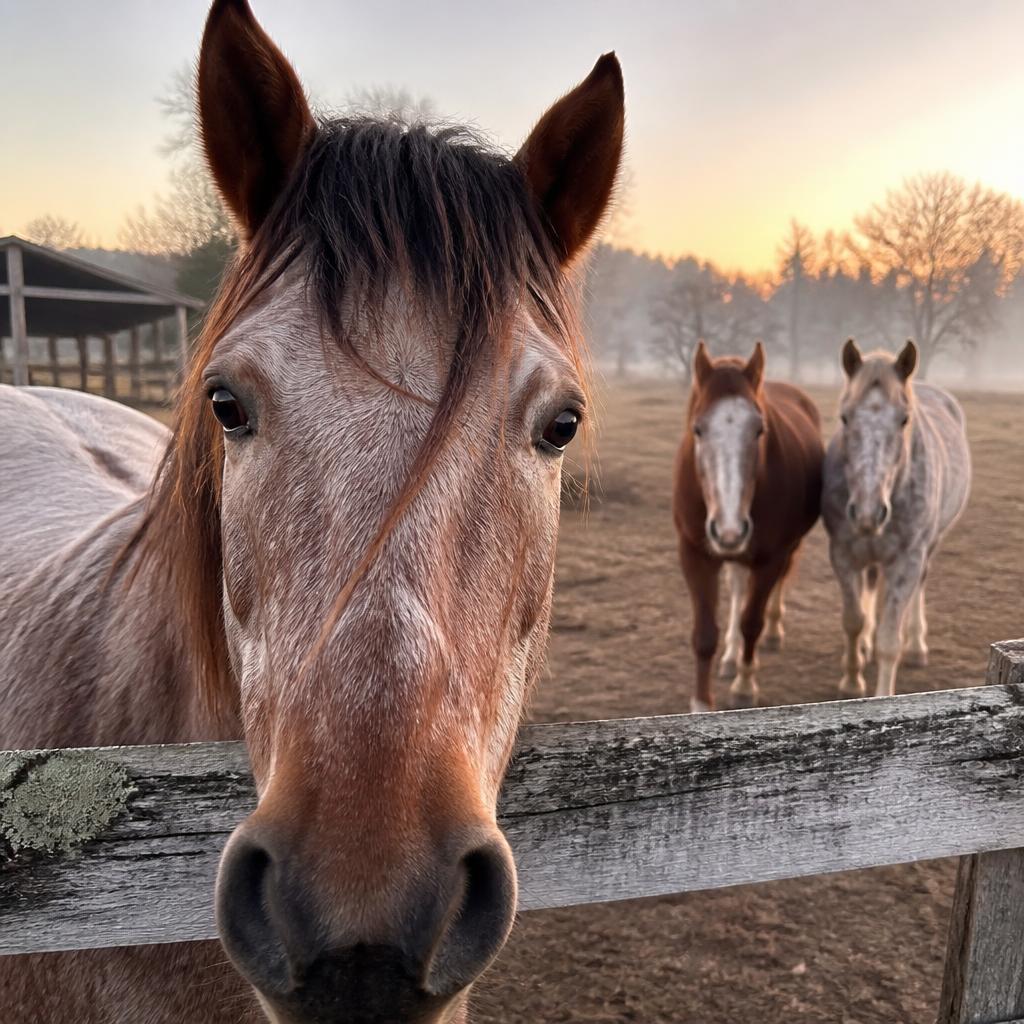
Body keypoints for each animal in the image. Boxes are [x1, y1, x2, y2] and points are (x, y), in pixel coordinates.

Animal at [673, 341, 823, 712]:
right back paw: (729, 658)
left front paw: (744, 685)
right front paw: (702, 704)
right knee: (739, 587)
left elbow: (751, 621)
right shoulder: (694, 554)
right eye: (698, 429)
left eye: (759, 430)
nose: (729, 529)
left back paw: (770, 635)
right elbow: (705, 633)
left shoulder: (770, 558)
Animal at [823, 339, 970, 698]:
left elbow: (890, 641)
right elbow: (854, 620)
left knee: (918, 589)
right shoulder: (843, 554)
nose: (867, 511)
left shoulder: (907, 560)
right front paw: (851, 681)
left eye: (904, 420)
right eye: (845, 417)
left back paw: (916, 647)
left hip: (928, 547)